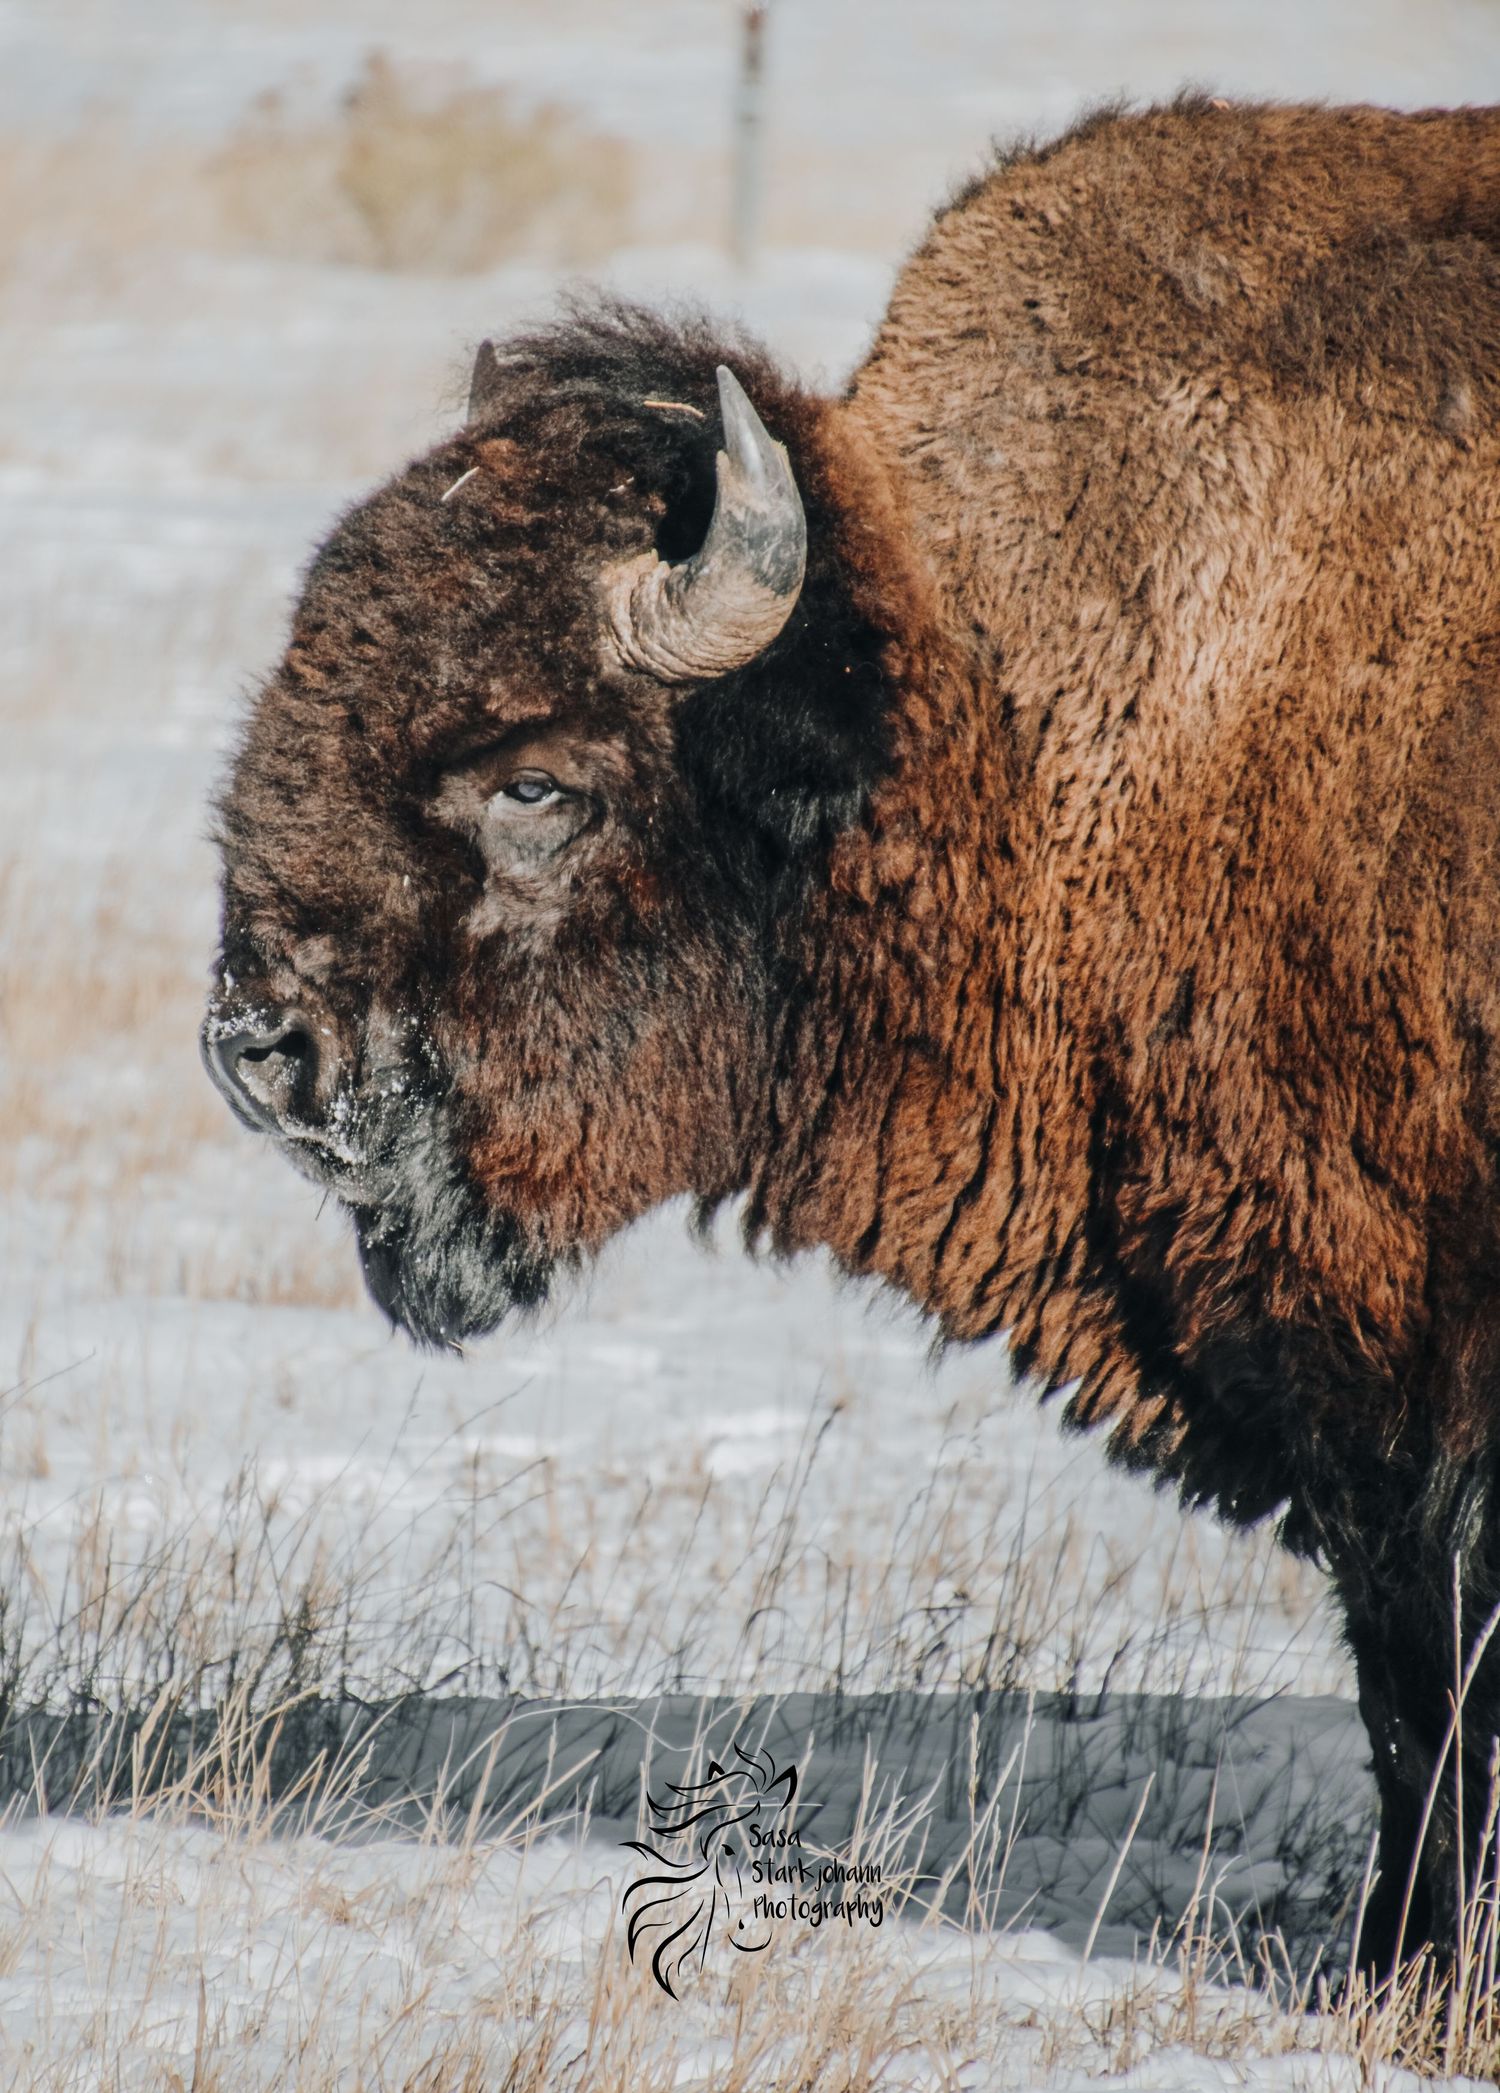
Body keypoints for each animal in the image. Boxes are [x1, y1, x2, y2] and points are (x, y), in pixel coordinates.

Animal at [205, 98, 1500, 1976]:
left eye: (538, 783)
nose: (264, 1050)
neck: (1011, 720)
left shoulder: (1405, 1382)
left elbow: (1428, 1692)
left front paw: (1413, 1969)